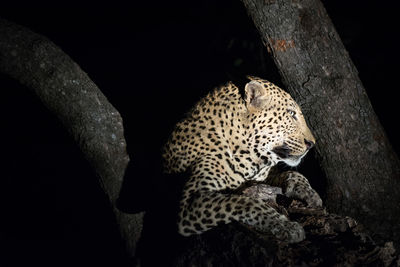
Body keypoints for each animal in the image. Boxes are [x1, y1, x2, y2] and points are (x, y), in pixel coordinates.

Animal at [162, 76, 322, 244]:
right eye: (291, 113)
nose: (312, 144)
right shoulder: (191, 202)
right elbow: (244, 202)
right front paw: (287, 227)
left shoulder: (261, 175)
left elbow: (293, 173)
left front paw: (309, 193)